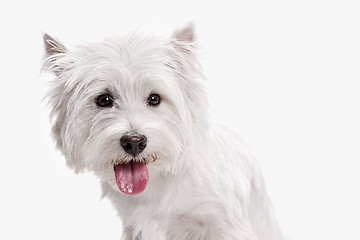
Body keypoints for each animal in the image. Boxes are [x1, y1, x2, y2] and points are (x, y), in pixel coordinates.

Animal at [43, 24, 284, 240]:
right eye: (104, 100)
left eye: (154, 98)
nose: (134, 141)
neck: (158, 181)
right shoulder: (135, 225)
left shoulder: (225, 223)